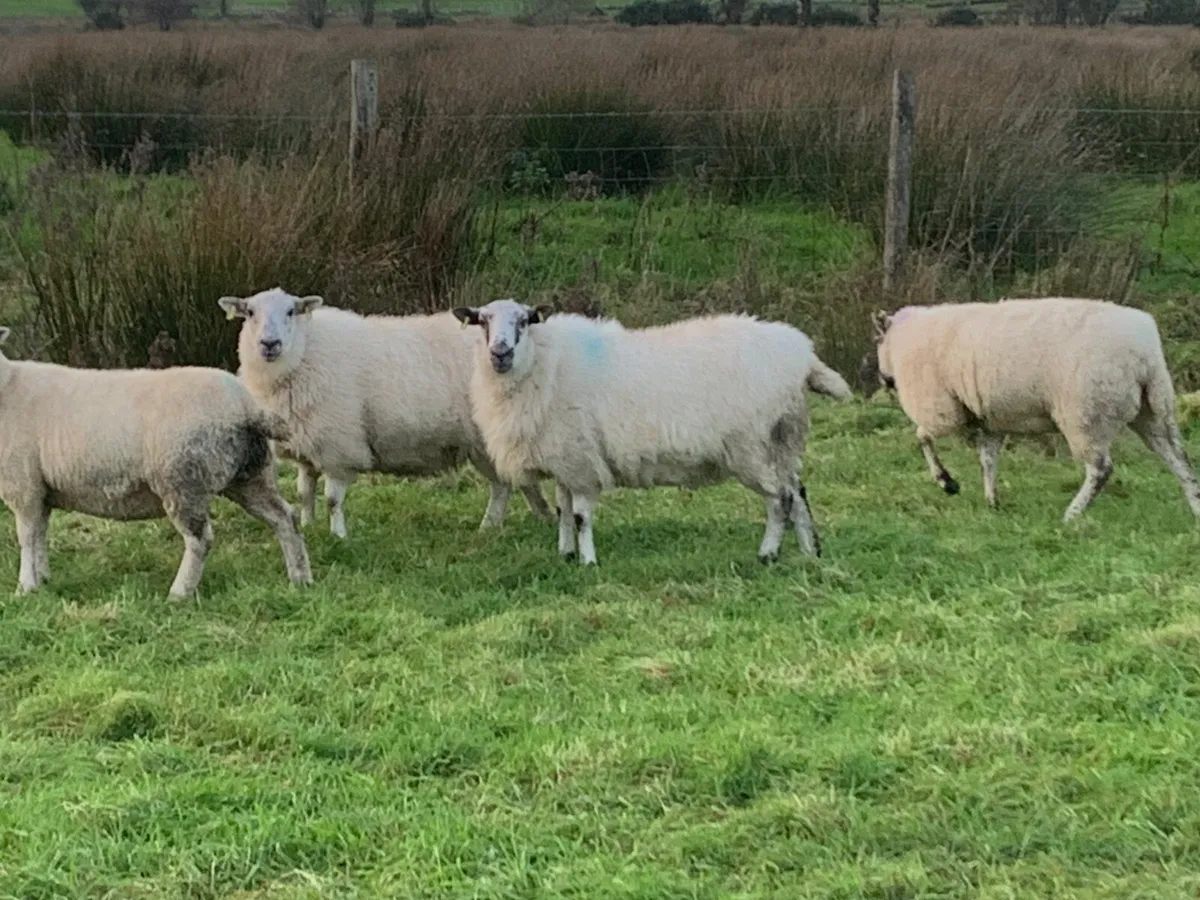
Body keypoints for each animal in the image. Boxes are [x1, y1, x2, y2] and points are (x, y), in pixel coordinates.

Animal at [0, 326, 312, 598]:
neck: (7, 385)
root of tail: (247, 406)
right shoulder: (41, 490)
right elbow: (40, 535)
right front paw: (42, 579)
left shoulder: (22, 485)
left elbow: (26, 537)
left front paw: (25, 587)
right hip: (250, 474)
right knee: (285, 518)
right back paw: (300, 578)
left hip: (182, 479)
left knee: (200, 538)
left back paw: (179, 592)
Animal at [218, 288, 553, 538]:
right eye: (250, 313)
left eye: (291, 312)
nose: (269, 344)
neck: (305, 351)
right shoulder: (308, 444)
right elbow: (304, 493)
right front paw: (308, 526)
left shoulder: (338, 446)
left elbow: (332, 499)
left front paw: (339, 537)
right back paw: (541, 516)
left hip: (485, 440)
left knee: (502, 485)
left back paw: (490, 526)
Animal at [452, 299, 853, 565]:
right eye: (482, 322)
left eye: (523, 321)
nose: (500, 352)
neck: (545, 362)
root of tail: (801, 354)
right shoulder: (566, 458)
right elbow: (563, 509)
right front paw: (565, 554)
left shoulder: (581, 462)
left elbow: (580, 516)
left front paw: (588, 562)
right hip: (783, 440)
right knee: (797, 493)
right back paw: (810, 553)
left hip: (753, 445)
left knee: (779, 499)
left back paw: (768, 553)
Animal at [871, 297, 1200, 521]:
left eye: (878, 342)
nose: (883, 379)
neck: (902, 340)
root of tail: (1143, 351)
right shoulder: (990, 420)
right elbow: (988, 460)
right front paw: (992, 501)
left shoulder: (941, 409)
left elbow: (922, 437)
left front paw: (947, 482)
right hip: (1155, 409)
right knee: (1179, 460)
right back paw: (1195, 507)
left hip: (1085, 413)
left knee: (1101, 469)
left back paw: (1072, 515)